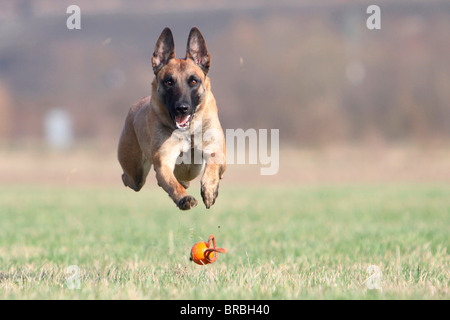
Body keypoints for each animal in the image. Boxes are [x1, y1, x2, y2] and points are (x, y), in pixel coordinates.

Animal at [118, 27, 227, 211]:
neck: (189, 131)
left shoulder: (216, 151)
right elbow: (172, 184)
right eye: (169, 82)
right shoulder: (164, 162)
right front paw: (184, 198)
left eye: (193, 81)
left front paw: (210, 190)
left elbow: (212, 167)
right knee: (129, 178)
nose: (182, 108)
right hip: (135, 173)